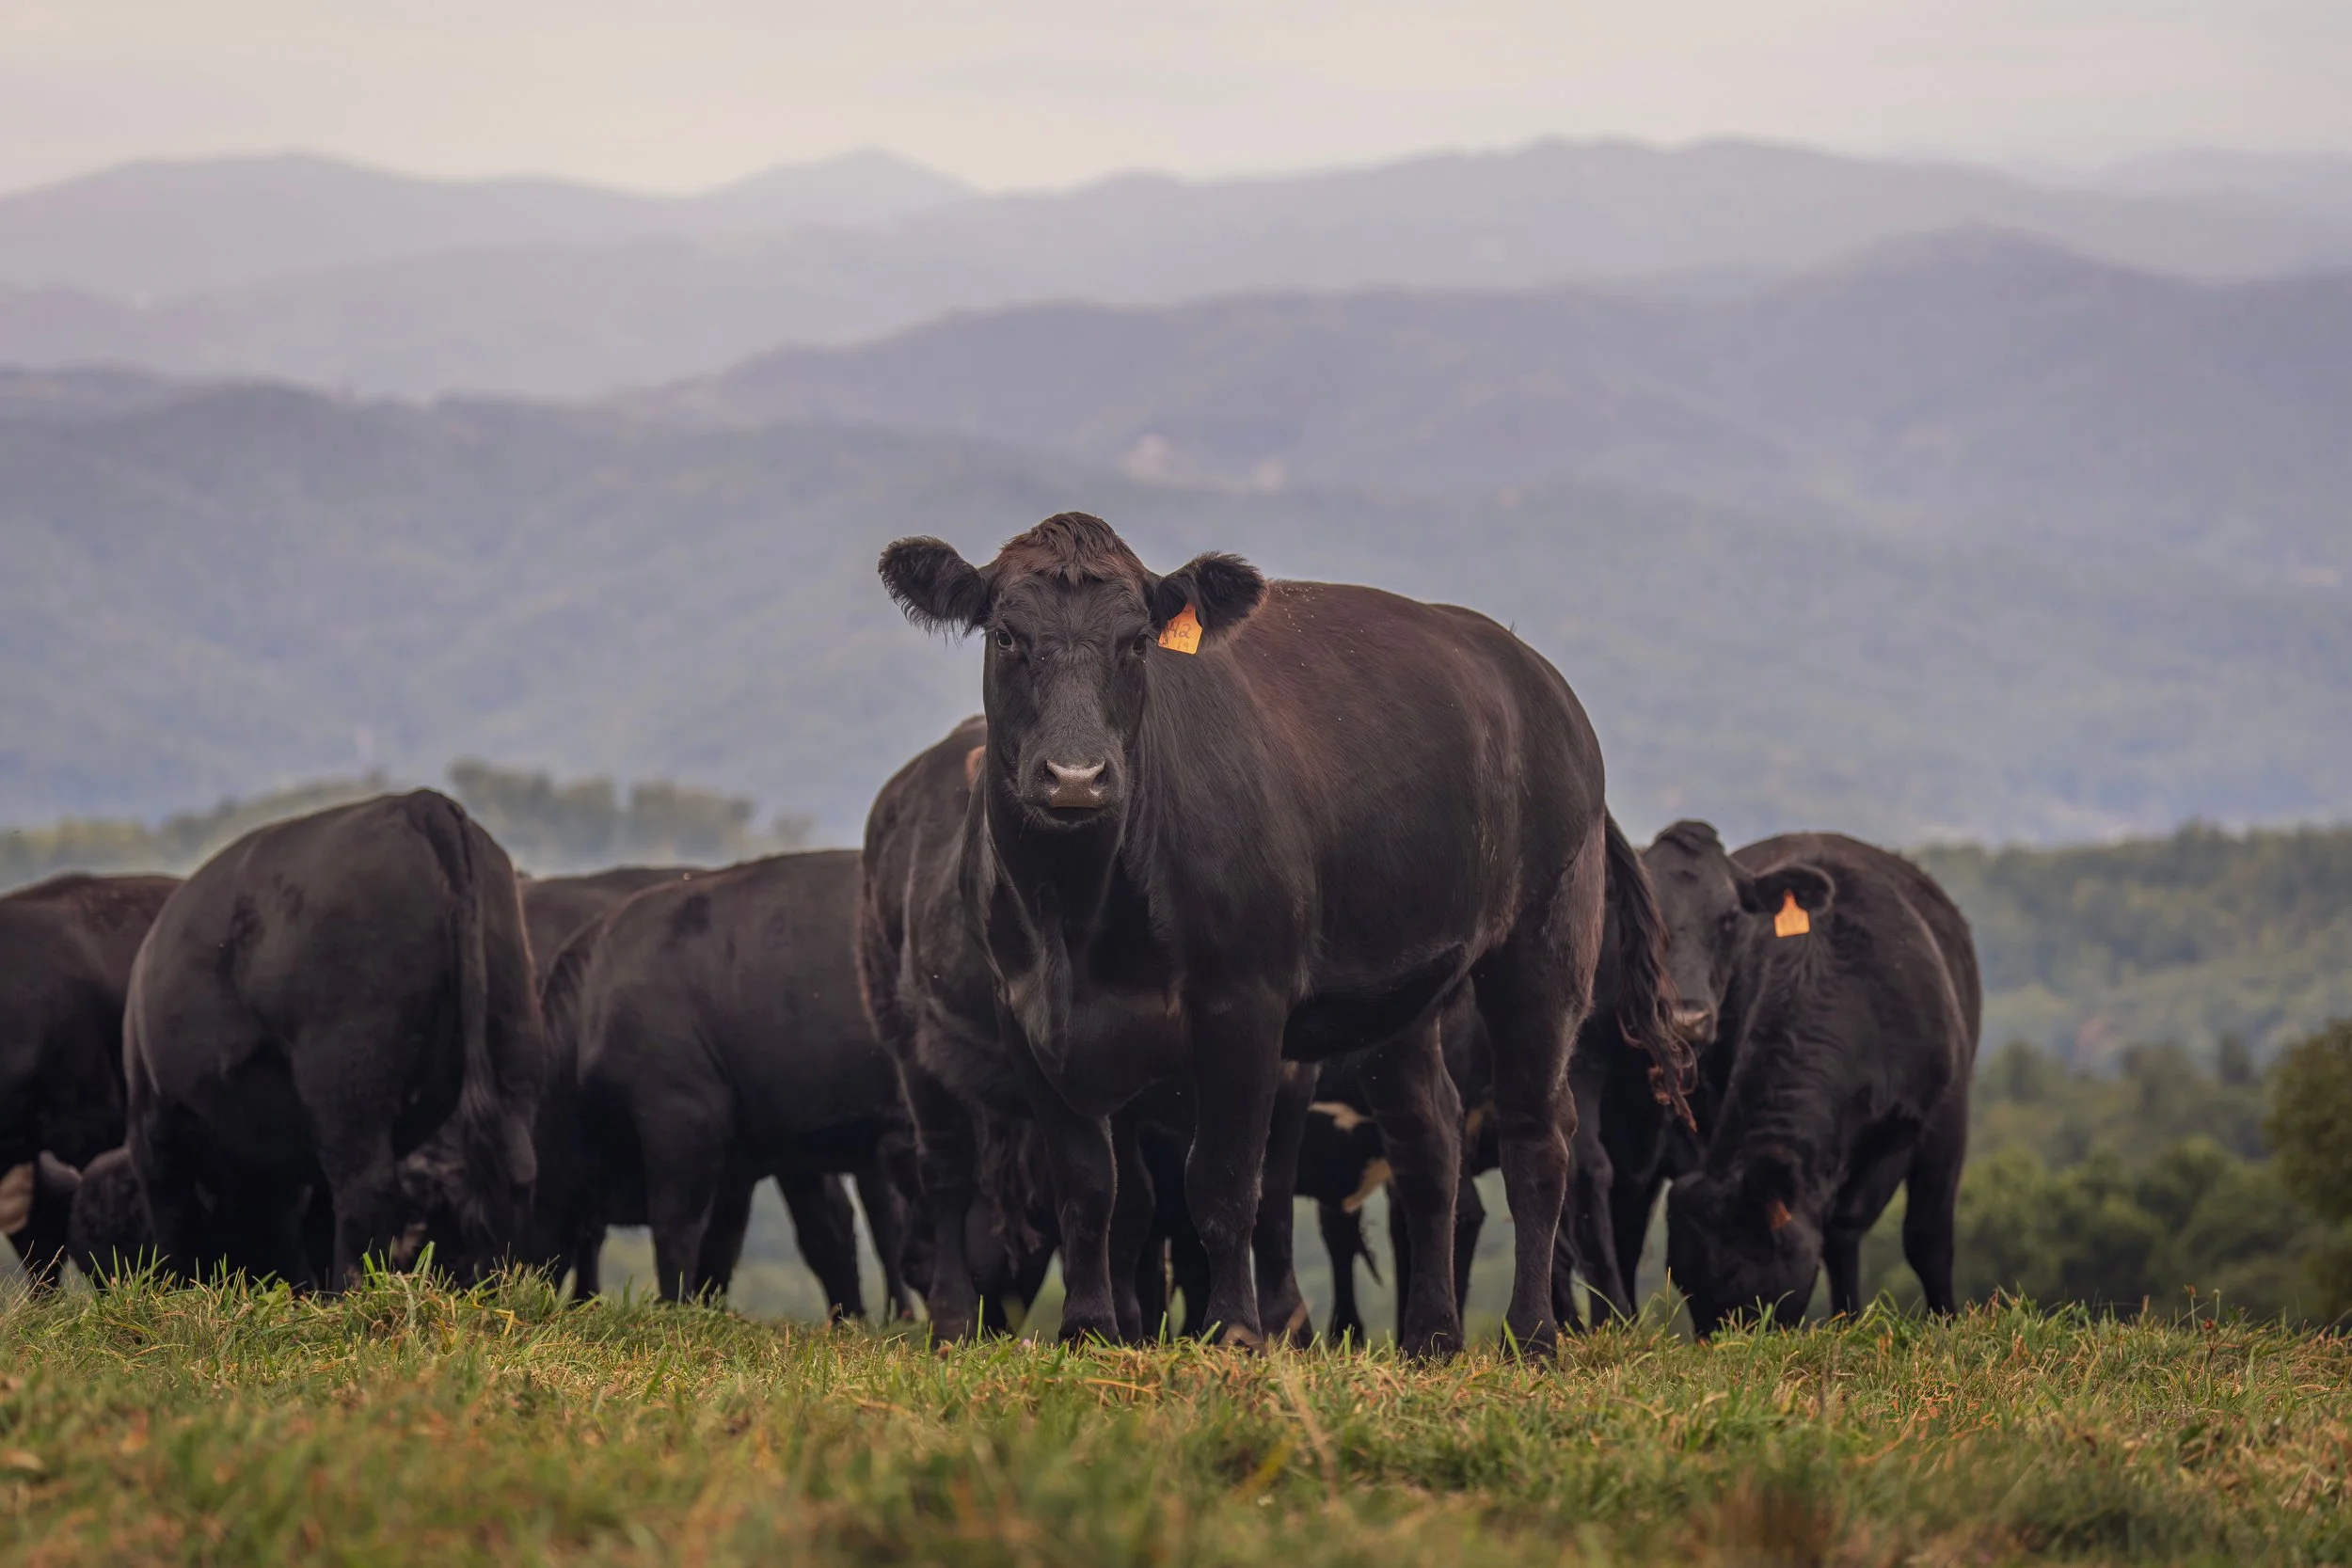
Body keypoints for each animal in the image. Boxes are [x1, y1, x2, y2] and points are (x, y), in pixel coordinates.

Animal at [123, 791, 544, 1287]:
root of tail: (417, 803)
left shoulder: (153, 1125)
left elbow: (174, 1225)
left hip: (346, 1078)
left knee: (365, 1188)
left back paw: (350, 1291)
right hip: (511, 1045)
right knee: (514, 1170)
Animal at [875, 512, 1688, 1354]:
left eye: (1135, 642)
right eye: (1006, 635)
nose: (1075, 776)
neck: (1076, 915)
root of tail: (1536, 675)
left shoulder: (1244, 1005)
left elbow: (1227, 1179)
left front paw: (1236, 1328)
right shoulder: (1026, 1015)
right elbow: (1089, 1185)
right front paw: (1091, 1328)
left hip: (1543, 947)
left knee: (1539, 1137)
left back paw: (1532, 1335)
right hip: (1407, 993)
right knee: (1431, 1142)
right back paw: (1431, 1336)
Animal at [1655, 824, 1981, 1334]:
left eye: (1739, 1278)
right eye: (1684, 1284)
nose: (1724, 1345)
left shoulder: (1945, 1116)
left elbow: (1927, 1238)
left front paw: (1946, 1323)